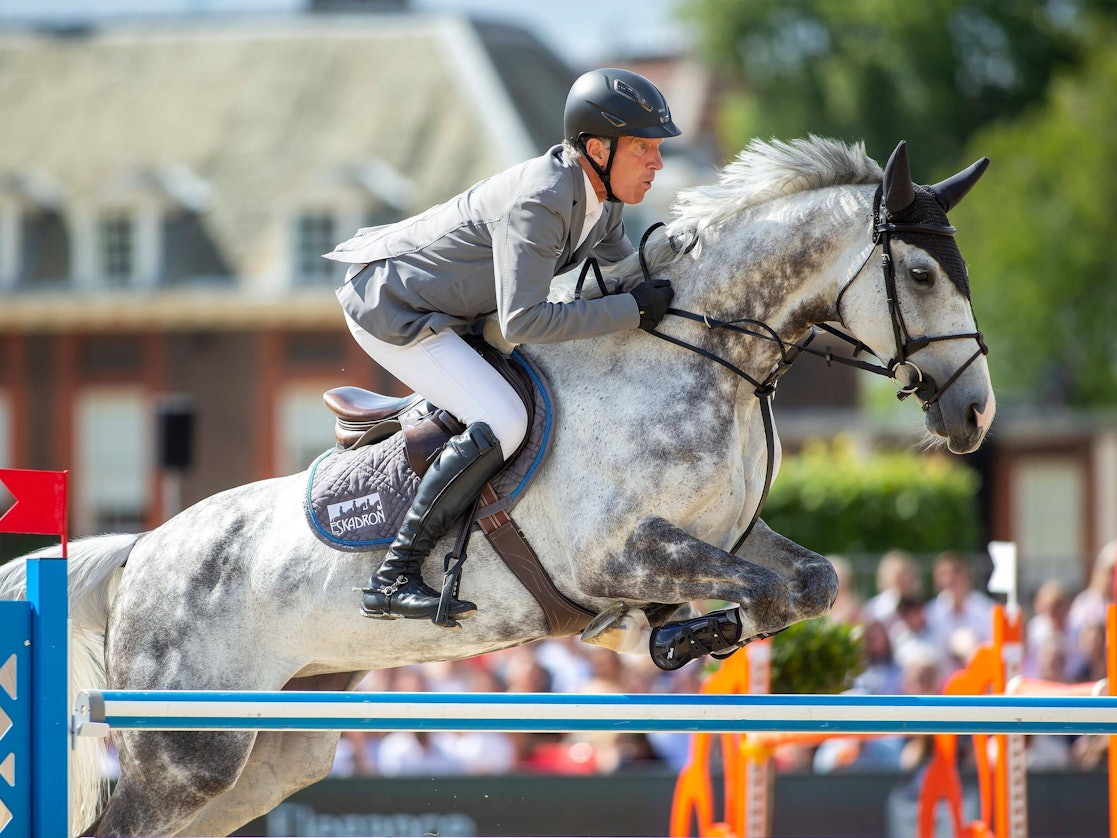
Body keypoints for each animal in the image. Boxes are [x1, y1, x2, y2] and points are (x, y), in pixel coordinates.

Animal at [0, 136, 995, 837]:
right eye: (918, 273)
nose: (975, 415)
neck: (703, 357)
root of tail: (141, 552)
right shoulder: (617, 554)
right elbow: (757, 590)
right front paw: (677, 636)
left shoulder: (725, 537)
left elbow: (809, 584)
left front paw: (685, 636)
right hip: (190, 752)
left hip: (272, 750)